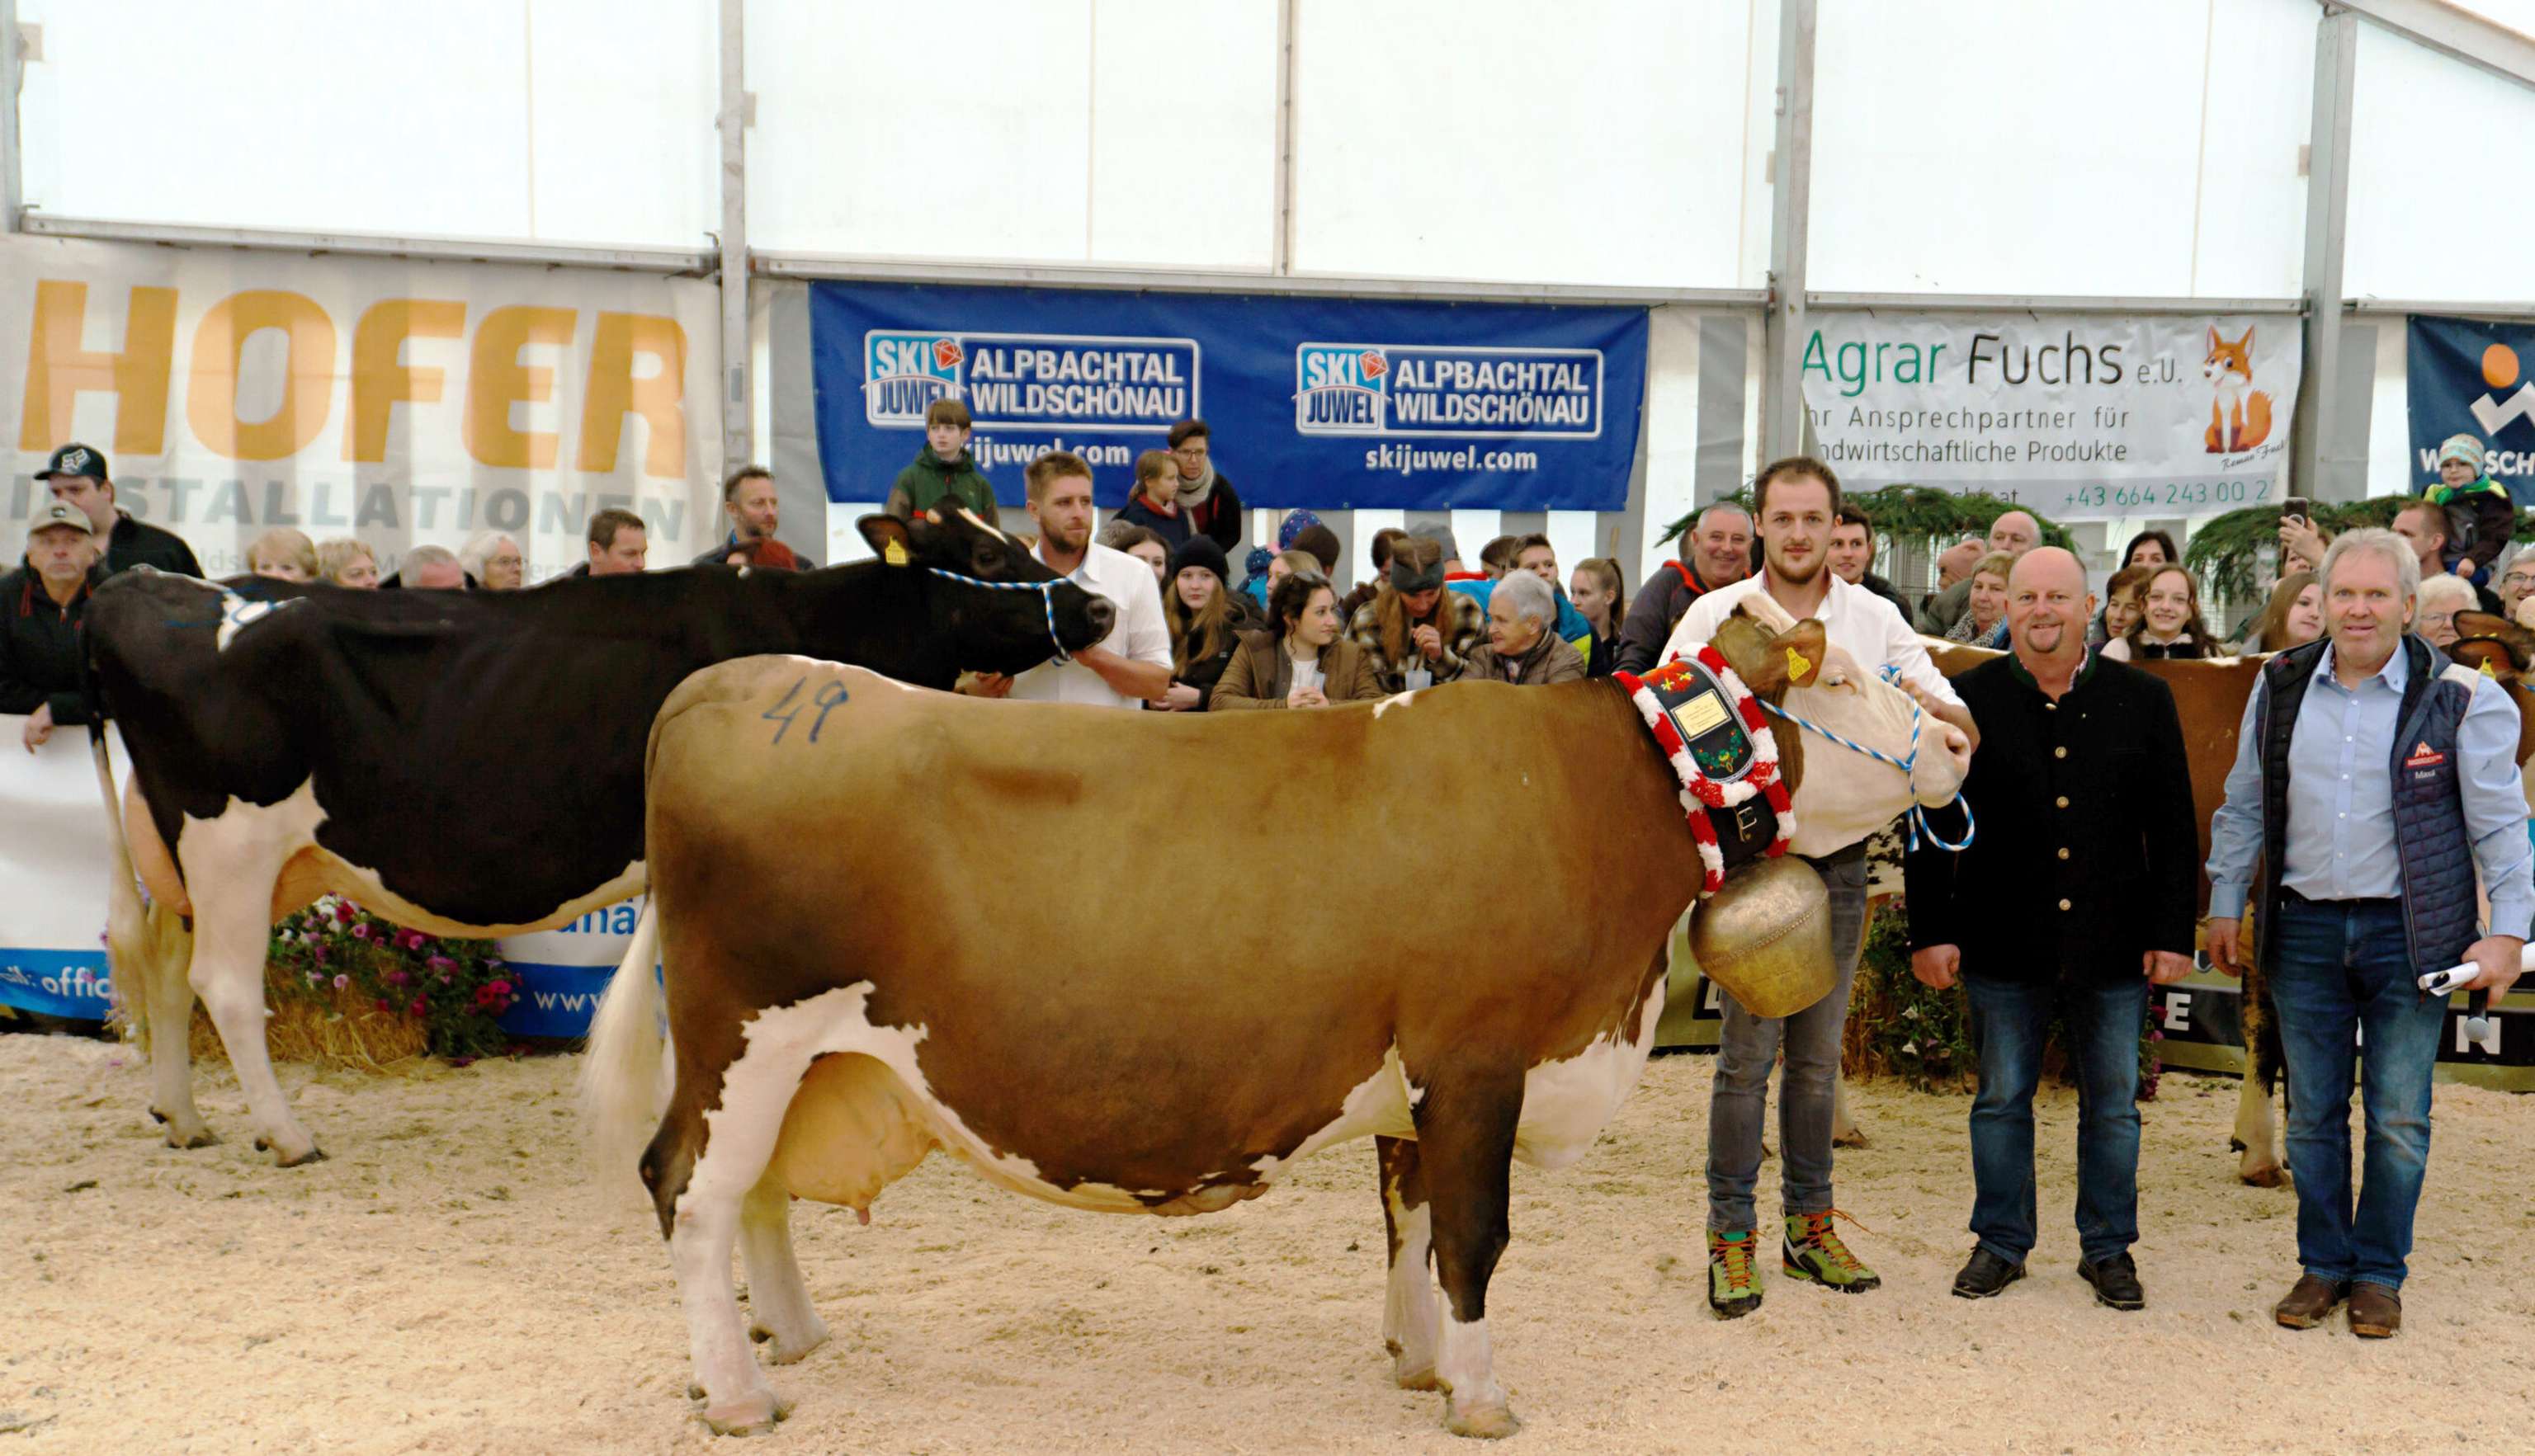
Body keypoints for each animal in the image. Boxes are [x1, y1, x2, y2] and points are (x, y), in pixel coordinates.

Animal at [85, 508, 1109, 1167]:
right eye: (981, 551)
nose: (1098, 607)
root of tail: (157, 583)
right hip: (230, 839)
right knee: (223, 980)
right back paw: (287, 1135)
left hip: (210, 855)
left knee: (166, 962)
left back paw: (185, 1117)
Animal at [581, 605, 1973, 1439]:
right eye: (1850, 670)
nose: (1963, 730)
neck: (1597, 790)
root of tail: (738, 682)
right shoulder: (1478, 1058)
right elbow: (1476, 1237)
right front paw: (1481, 1396)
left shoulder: (1415, 1076)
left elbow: (1410, 1220)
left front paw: (1416, 1361)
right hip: (747, 1031)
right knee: (690, 1190)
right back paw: (742, 1394)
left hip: (796, 1053)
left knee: (753, 1194)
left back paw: (792, 1338)